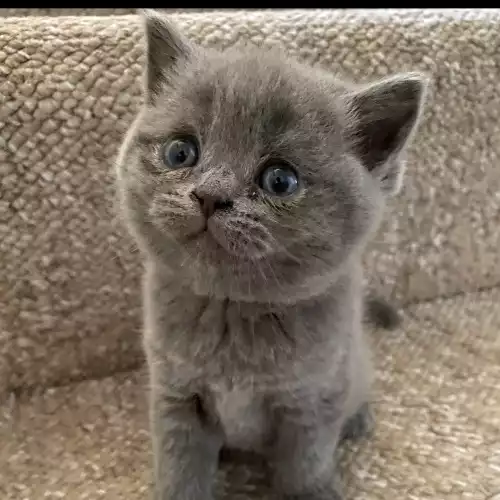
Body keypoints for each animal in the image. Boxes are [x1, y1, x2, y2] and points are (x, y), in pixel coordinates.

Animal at [115, 8, 428, 500]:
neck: (231, 312)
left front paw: (314, 490)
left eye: (281, 180)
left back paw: (359, 420)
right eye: (181, 151)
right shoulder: (174, 395)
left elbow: (304, 467)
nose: (209, 195)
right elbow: (180, 466)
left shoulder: (313, 403)